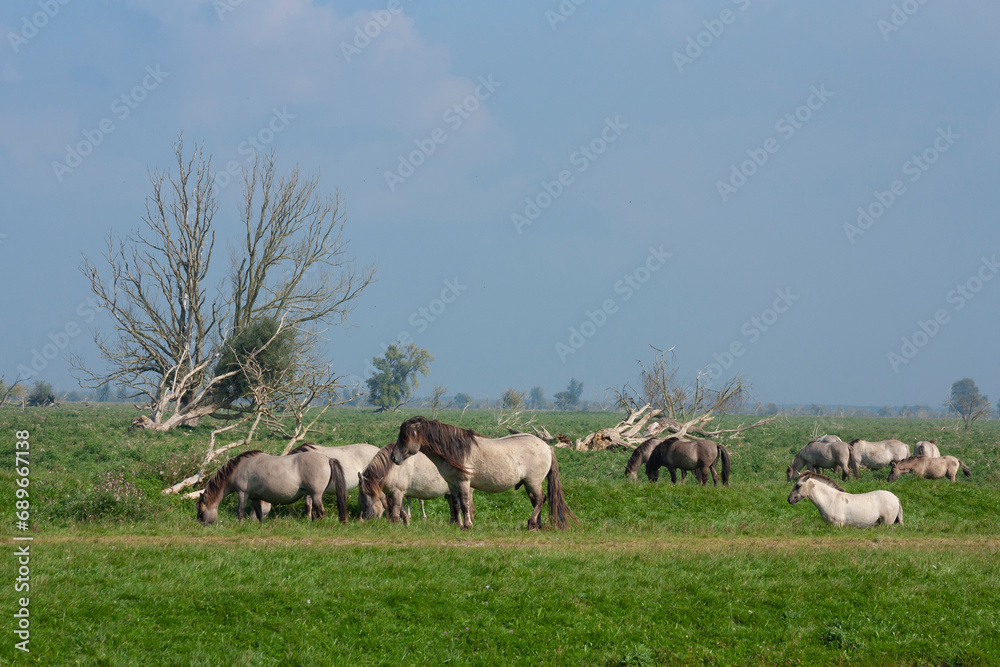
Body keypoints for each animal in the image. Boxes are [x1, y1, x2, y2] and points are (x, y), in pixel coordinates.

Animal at [195, 448, 348, 528]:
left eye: (201, 511)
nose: (199, 524)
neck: (238, 468)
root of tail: (327, 459)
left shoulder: (242, 493)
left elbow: (240, 512)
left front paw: (239, 525)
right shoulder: (255, 498)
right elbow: (259, 514)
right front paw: (261, 526)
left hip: (316, 495)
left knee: (320, 512)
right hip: (316, 495)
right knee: (316, 512)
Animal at [390, 418, 580, 532]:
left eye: (404, 437)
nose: (394, 457)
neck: (455, 450)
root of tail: (546, 446)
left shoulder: (464, 482)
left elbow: (465, 504)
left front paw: (467, 525)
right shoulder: (452, 484)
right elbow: (456, 505)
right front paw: (458, 524)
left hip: (533, 481)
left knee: (540, 499)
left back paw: (531, 523)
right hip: (528, 483)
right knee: (536, 500)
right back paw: (536, 526)